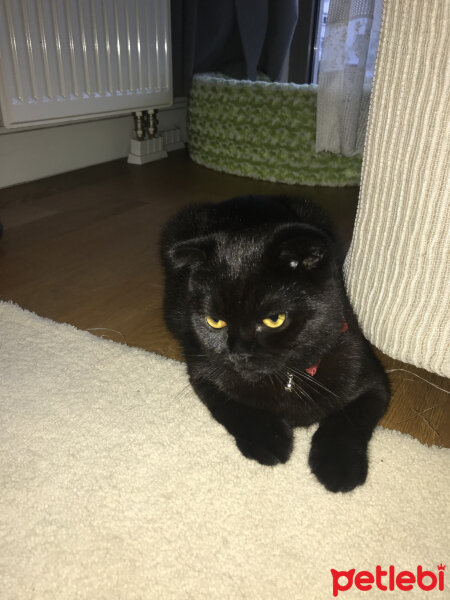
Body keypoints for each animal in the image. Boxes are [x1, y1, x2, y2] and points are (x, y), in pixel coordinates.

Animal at [160, 197, 388, 492]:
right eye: (215, 322)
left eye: (274, 319)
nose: (238, 354)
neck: (288, 377)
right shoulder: (204, 370)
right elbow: (232, 405)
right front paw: (268, 439)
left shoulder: (370, 378)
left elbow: (348, 420)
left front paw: (338, 465)